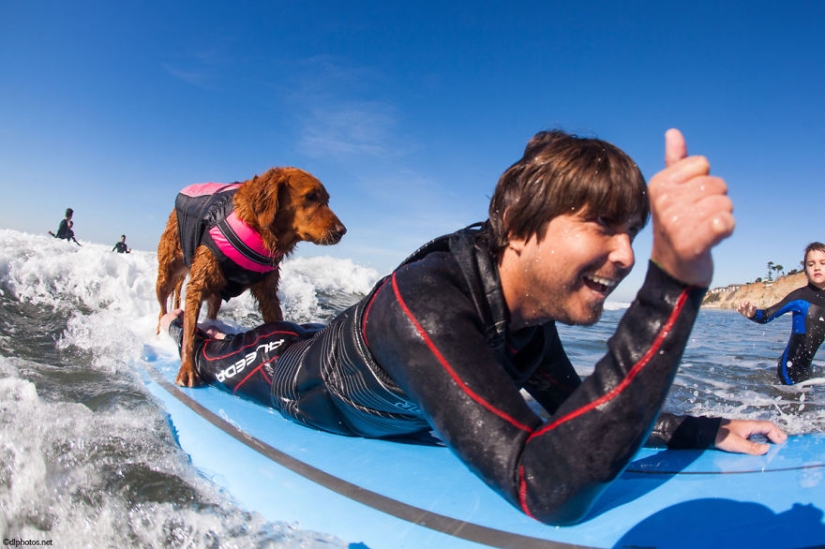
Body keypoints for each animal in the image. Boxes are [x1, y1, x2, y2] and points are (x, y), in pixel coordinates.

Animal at [155, 167, 344, 386]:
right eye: (311, 196)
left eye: (327, 200)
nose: (343, 231)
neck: (259, 229)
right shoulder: (198, 284)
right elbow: (190, 333)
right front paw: (187, 368)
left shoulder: (268, 295)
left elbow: (275, 322)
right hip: (165, 275)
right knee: (162, 308)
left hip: (215, 295)